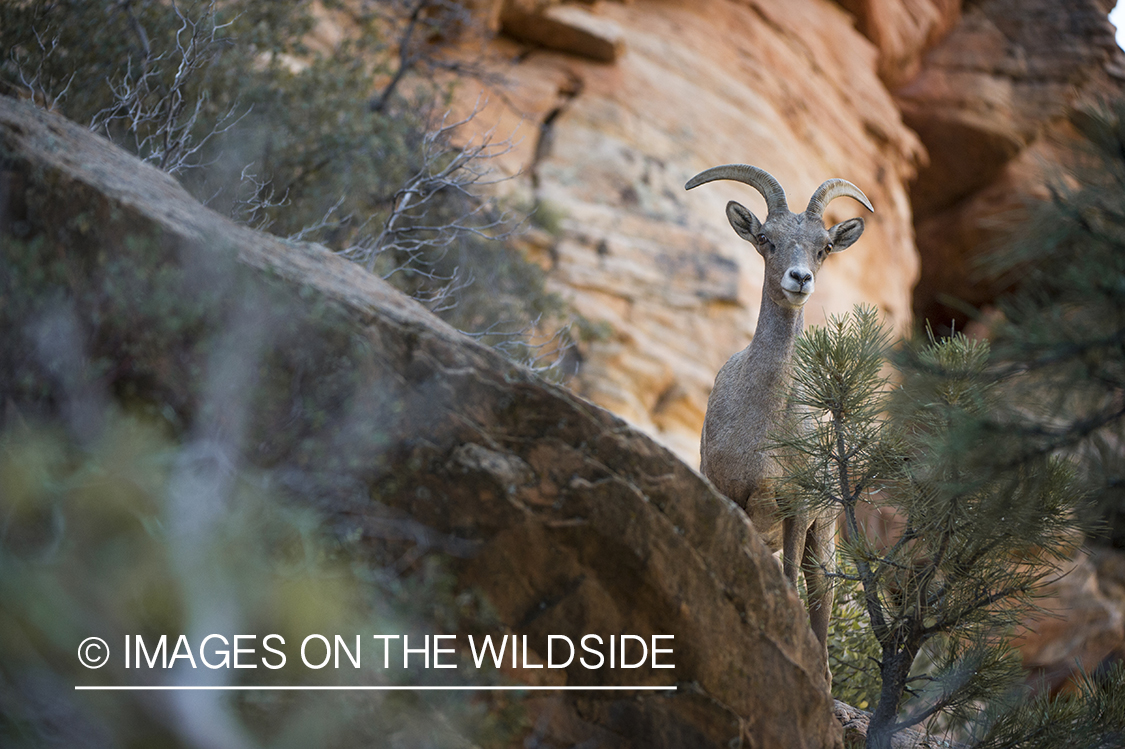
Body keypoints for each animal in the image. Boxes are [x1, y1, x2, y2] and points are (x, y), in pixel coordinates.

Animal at [679, 163, 873, 674]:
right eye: (765, 238)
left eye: (823, 246)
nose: (799, 278)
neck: (763, 423)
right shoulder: (731, 496)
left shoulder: (796, 510)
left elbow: (788, 585)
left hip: (822, 541)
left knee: (818, 609)